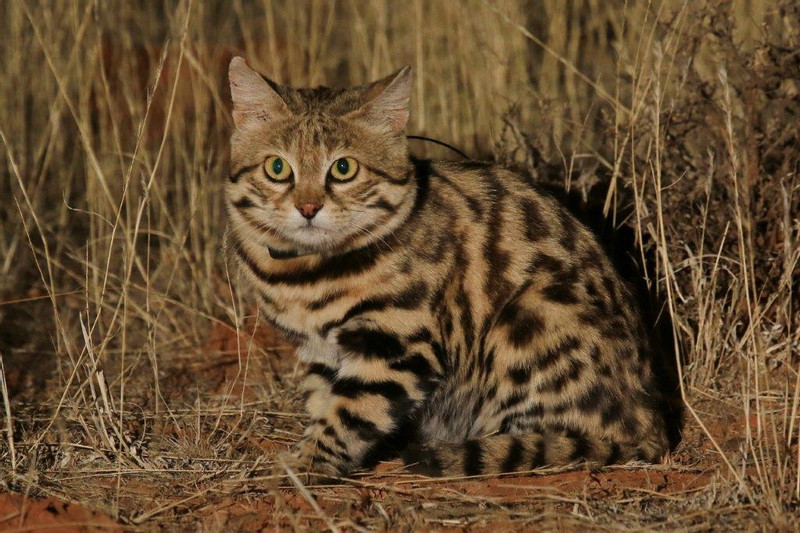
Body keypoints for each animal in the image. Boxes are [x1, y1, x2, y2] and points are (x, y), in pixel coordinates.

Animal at [223, 56, 668, 480]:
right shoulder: (319, 352)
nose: (308, 207)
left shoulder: (399, 343)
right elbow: (322, 402)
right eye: (277, 168)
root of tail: (652, 422)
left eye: (344, 168)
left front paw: (306, 467)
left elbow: (348, 414)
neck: (307, 273)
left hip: (528, 318)